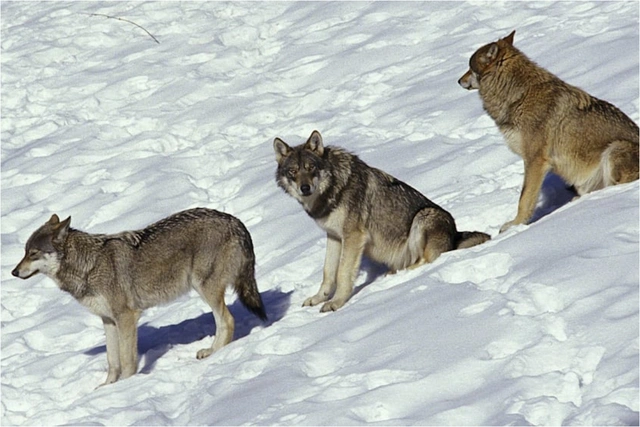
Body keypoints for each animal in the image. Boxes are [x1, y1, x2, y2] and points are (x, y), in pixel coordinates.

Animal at [12, 209, 268, 386]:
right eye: (24, 252)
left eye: (33, 254)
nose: (14, 272)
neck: (89, 266)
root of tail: (235, 220)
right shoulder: (108, 320)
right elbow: (112, 361)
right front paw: (105, 388)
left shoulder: (127, 317)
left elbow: (127, 361)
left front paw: (126, 385)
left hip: (204, 288)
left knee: (227, 320)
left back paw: (214, 353)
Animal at [272, 129, 490, 312]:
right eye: (293, 172)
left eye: (311, 168)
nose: (305, 188)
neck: (332, 191)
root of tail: (455, 235)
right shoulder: (333, 236)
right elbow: (328, 273)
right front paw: (318, 298)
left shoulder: (353, 236)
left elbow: (342, 273)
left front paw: (337, 302)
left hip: (423, 217)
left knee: (428, 259)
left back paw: (397, 273)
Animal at [458, 29, 636, 232]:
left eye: (469, 68)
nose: (458, 81)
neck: (519, 95)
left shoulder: (535, 160)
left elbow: (524, 198)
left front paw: (515, 225)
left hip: (614, 149)